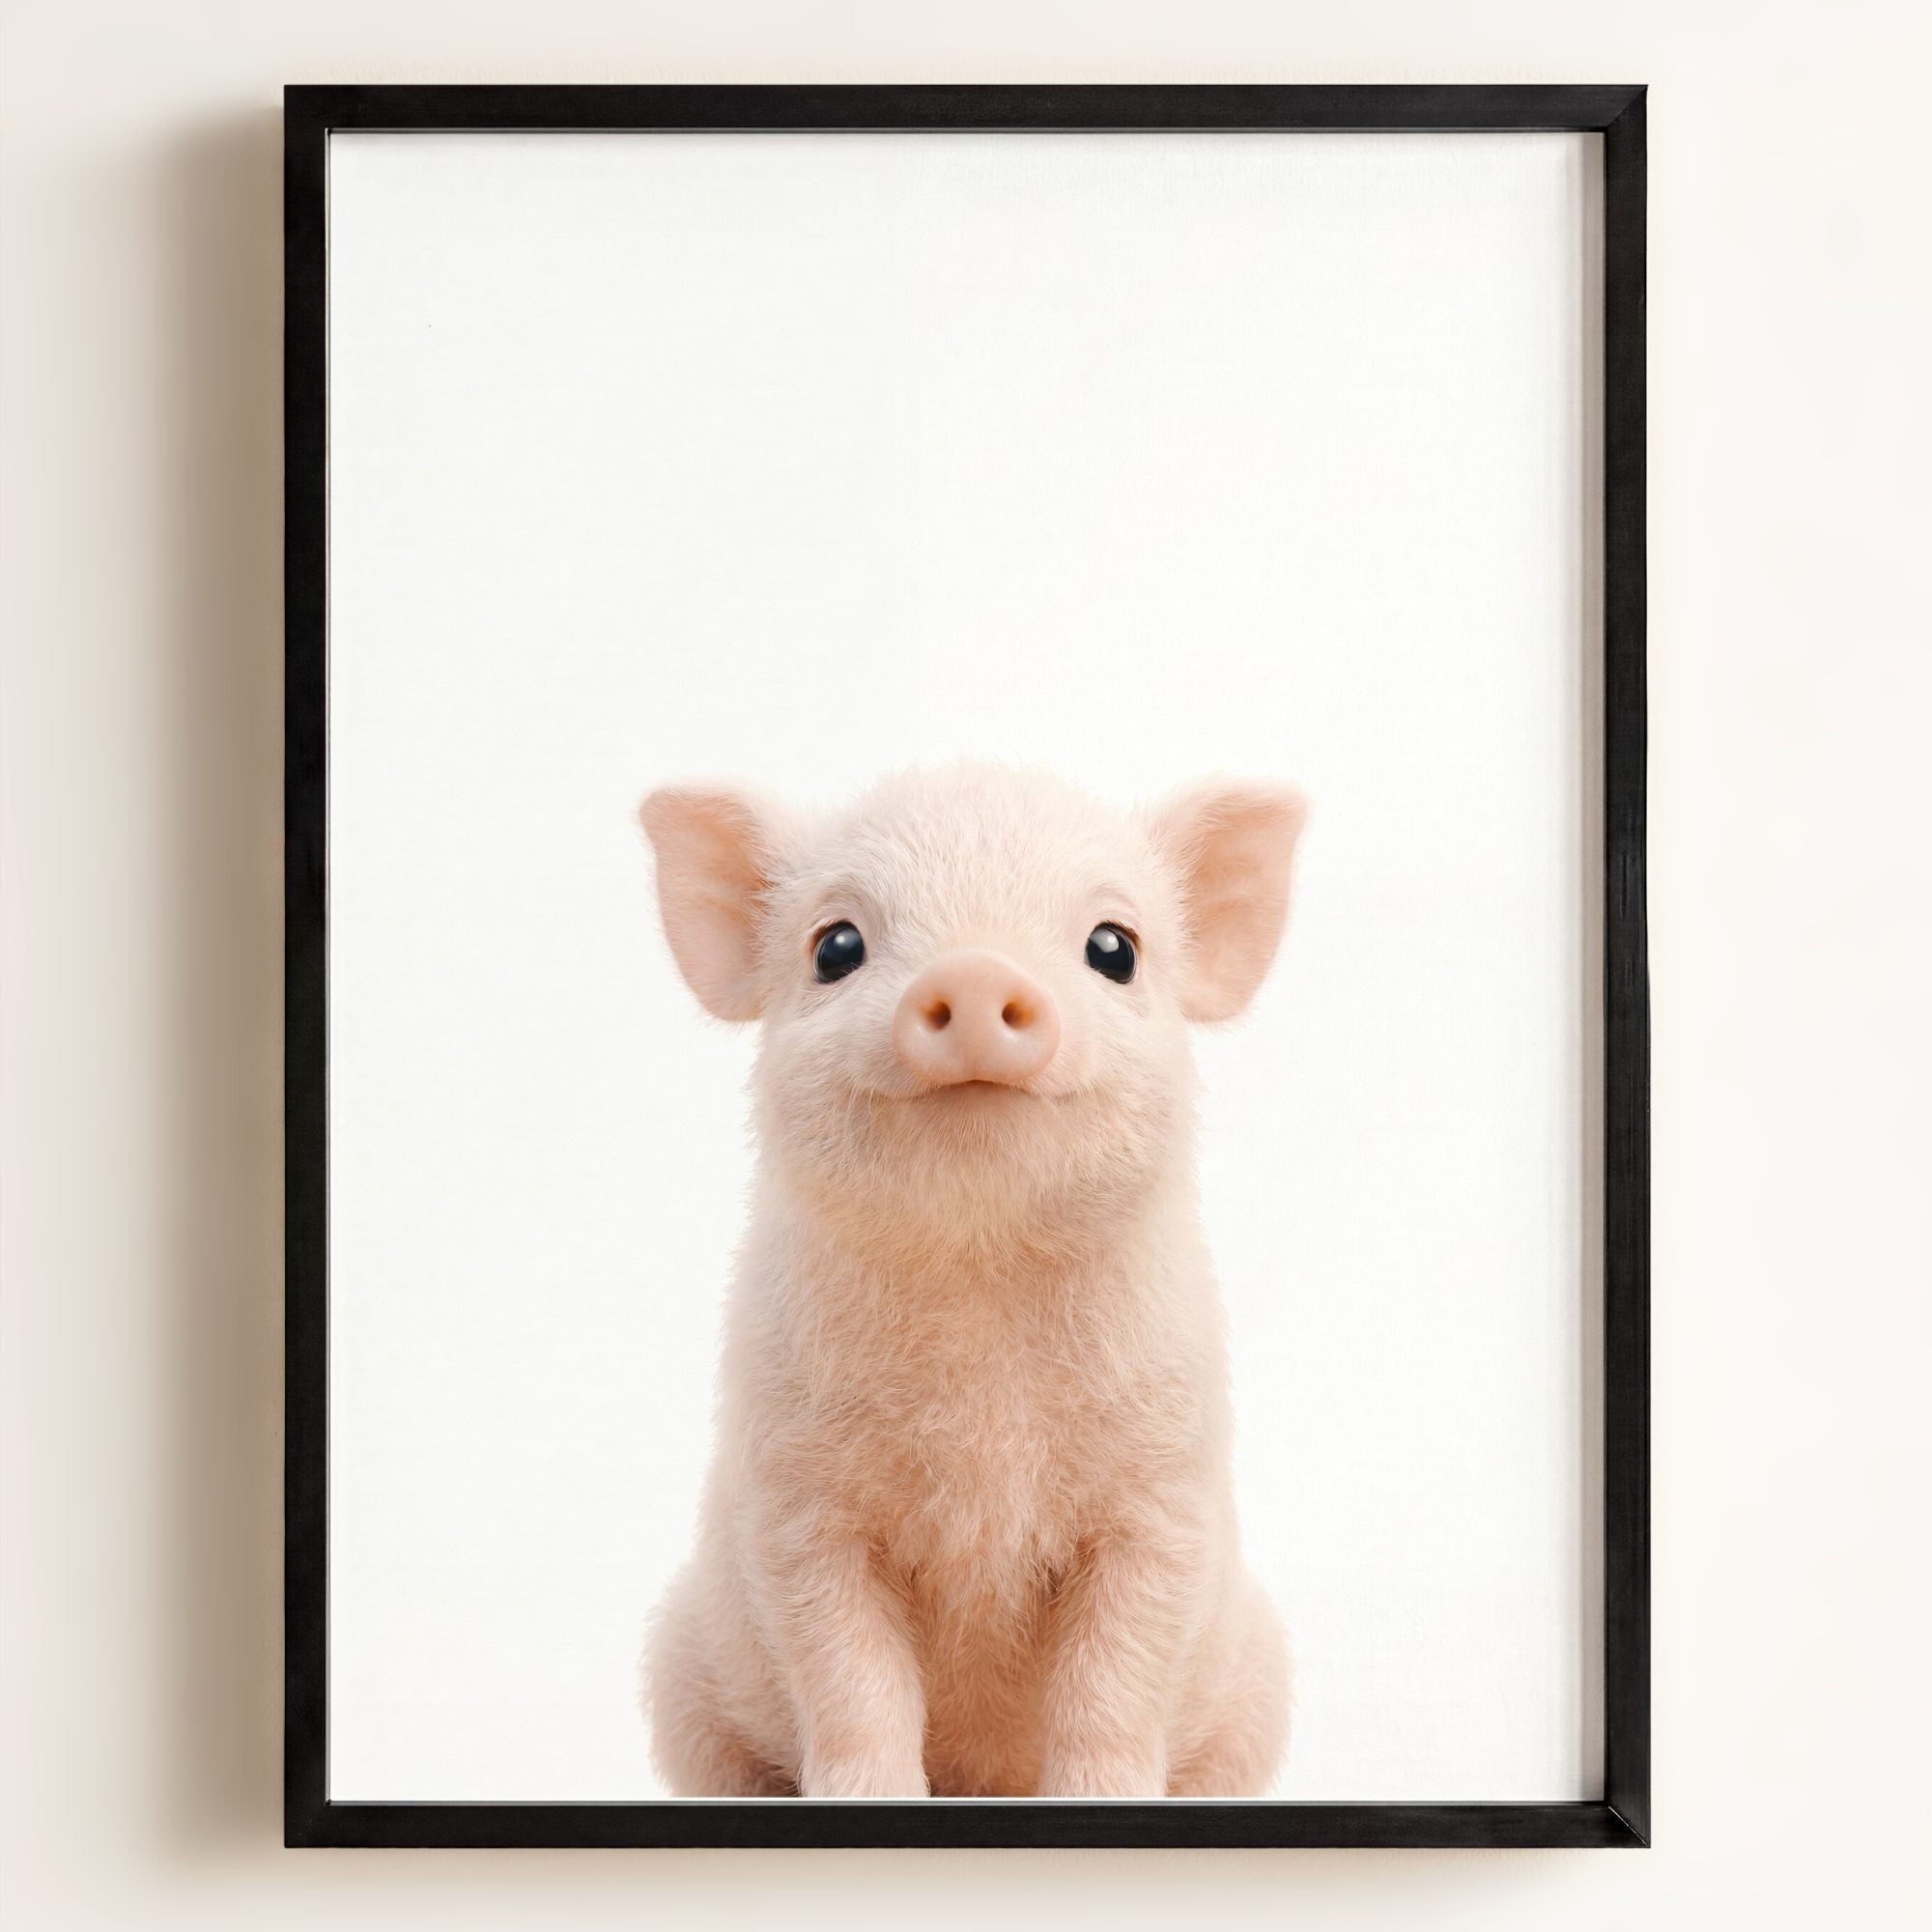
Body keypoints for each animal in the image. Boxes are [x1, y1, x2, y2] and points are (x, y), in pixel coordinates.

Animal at [638, 762, 1305, 1798]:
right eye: (836, 947)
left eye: (1114, 948)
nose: (977, 970)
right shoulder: (795, 1507)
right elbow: (851, 1681)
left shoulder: (1163, 1498)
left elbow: (1115, 1684)